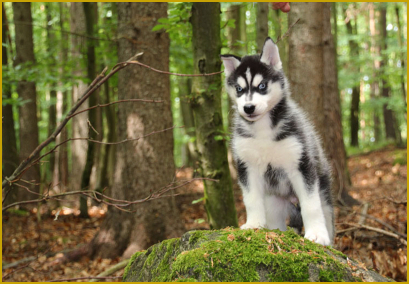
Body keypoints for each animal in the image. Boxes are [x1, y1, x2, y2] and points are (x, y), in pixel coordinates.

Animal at [222, 38, 334, 246]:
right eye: (239, 89)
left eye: (262, 86)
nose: (248, 108)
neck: (263, 130)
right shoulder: (246, 166)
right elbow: (251, 199)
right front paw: (253, 225)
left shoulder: (301, 164)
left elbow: (311, 204)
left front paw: (315, 234)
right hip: (274, 203)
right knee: (276, 221)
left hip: (323, 192)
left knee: (325, 213)